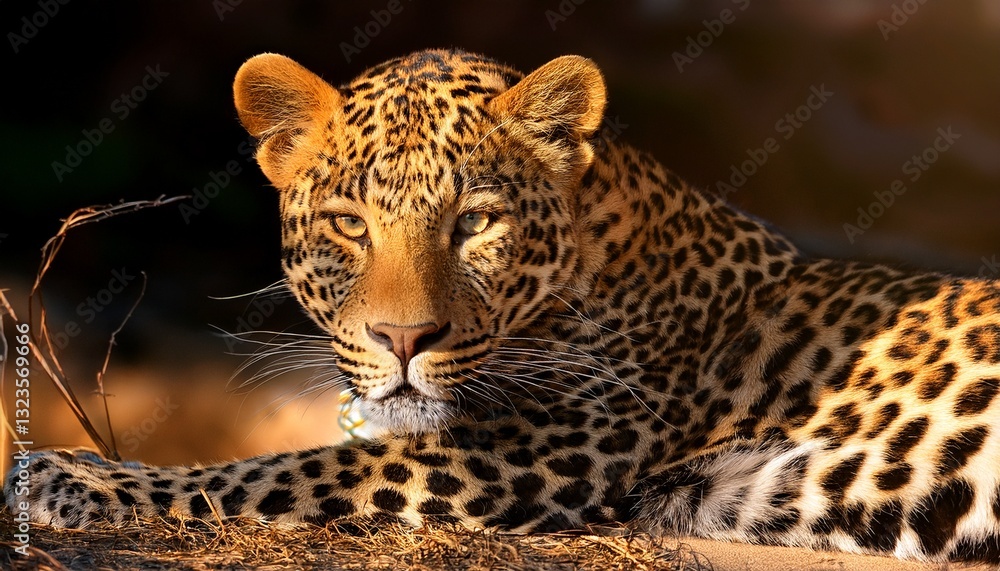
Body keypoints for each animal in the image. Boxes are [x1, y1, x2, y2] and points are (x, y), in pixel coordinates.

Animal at [7, 49, 1000, 563]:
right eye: (350, 223)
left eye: (476, 221)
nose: (404, 337)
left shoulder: (545, 451)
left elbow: (269, 471)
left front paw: (69, 475)